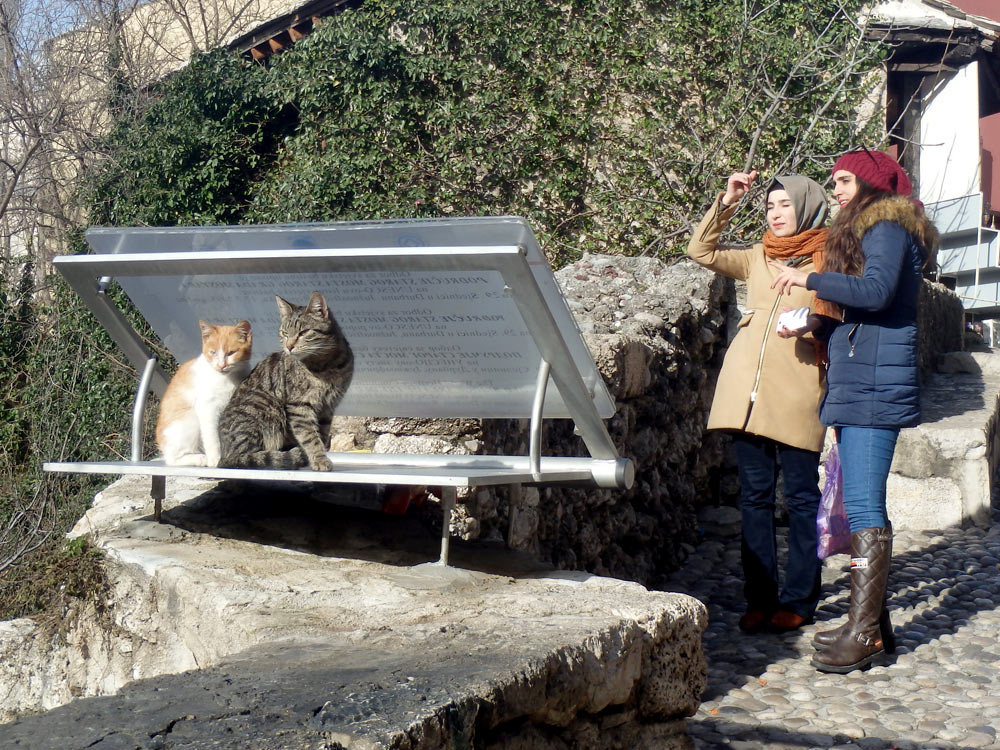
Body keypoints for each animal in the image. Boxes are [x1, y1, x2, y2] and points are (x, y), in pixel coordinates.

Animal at [156, 320, 252, 468]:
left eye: (231, 353)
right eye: (212, 352)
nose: (221, 365)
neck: (228, 378)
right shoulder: (206, 407)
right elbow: (212, 436)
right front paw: (215, 459)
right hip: (190, 419)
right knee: (172, 460)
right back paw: (200, 458)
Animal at [221, 292, 354, 470]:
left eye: (303, 332)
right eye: (284, 333)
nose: (289, 346)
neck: (326, 366)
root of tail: (222, 454)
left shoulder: (328, 407)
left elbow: (322, 433)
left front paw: (319, 454)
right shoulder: (299, 405)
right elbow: (310, 436)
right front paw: (319, 459)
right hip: (265, 406)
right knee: (244, 457)